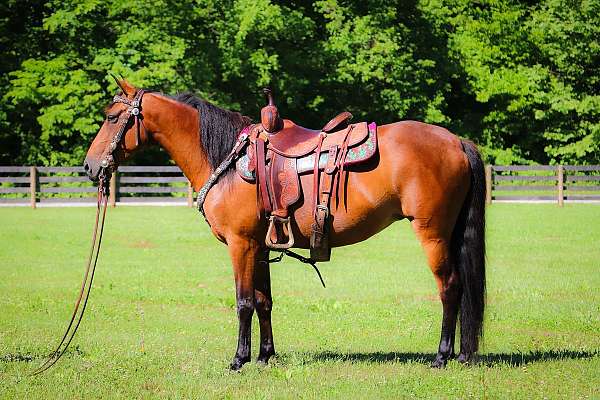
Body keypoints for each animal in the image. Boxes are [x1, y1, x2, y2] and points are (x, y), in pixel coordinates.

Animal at [84, 79, 486, 370]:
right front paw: (264, 356)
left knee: (450, 288)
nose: (89, 166)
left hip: (432, 234)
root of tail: (457, 141)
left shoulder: (241, 244)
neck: (227, 160)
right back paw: (462, 354)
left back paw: (442, 356)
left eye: (111, 117)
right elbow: (264, 301)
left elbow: (243, 301)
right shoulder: (260, 246)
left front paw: (239, 359)